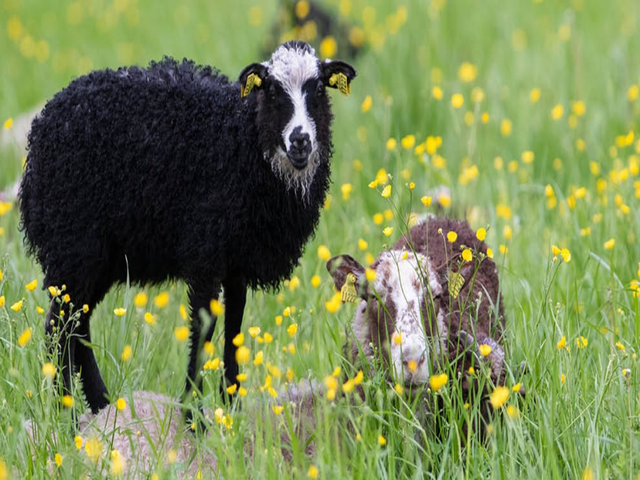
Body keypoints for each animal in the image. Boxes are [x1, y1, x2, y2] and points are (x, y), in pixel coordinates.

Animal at [18, 40, 356, 414]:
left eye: (319, 89)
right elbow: (203, 327)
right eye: (271, 90)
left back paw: (100, 406)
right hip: (72, 245)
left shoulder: (237, 260)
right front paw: (194, 413)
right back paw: (66, 412)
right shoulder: (205, 250)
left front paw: (231, 405)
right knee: (59, 328)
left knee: (78, 327)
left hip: (96, 258)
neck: (242, 140)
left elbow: (234, 328)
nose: (300, 141)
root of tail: (44, 123)